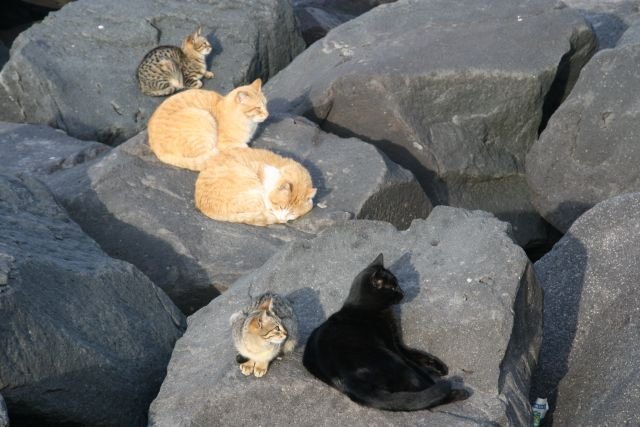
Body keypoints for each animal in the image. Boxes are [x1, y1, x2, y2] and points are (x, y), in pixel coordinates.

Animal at [300, 254, 470, 412]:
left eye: (398, 285)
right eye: (393, 288)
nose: (403, 292)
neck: (363, 308)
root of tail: (350, 381)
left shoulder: (397, 342)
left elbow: (418, 354)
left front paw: (439, 367)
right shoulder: (393, 346)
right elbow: (415, 364)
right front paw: (432, 374)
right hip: (393, 360)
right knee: (424, 393)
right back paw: (457, 392)